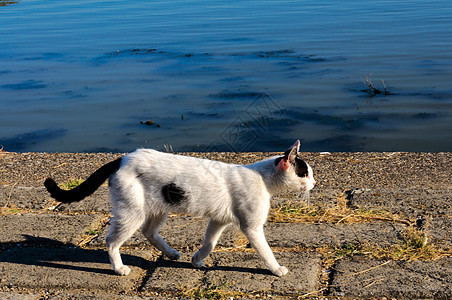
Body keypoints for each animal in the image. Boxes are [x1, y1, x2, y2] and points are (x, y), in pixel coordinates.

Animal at [45, 141, 314, 276]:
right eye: (305, 173)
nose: (314, 183)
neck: (262, 179)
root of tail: (122, 158)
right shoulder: (252, 227)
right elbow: (266, 251)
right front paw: (277, 269)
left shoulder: (218, 220)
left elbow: (210, 243)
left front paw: (196, 260)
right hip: (132, 213)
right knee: (111, 240)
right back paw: (119, 268)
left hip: (157, 210)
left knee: (148, 232)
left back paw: (173, 254)